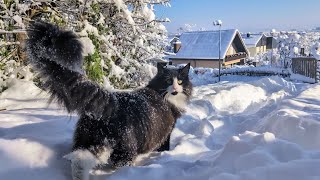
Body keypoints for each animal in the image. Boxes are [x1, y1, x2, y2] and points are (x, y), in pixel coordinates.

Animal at [26, 21, 192, 179]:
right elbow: (164, 147)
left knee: (80, 161)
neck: (159, 92)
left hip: (90, 140)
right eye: (169, 81)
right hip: (124, 148)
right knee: (118, 165)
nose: (175, 89)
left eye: (180, 81)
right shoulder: (167, 131)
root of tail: (110, 100)